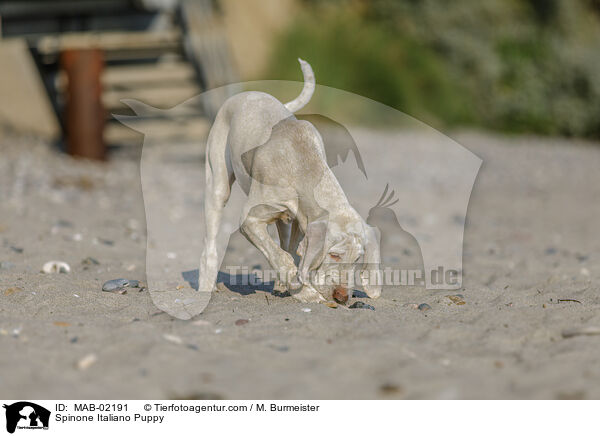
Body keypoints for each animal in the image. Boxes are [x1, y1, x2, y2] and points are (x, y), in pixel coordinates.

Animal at [199, 58, 382, 304]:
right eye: (334, 255)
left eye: (357, 260)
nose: (342, 297)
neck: (303, 166)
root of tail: (248, 93)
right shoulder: (249, 220)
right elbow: (280, 256)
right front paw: (303, 289)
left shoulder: (301, 221)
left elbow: (293, 252)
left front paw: (295, 286)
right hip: (217, 184)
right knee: (211, 239)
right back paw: (206, 285)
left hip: (282, 220)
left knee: (283, 238)